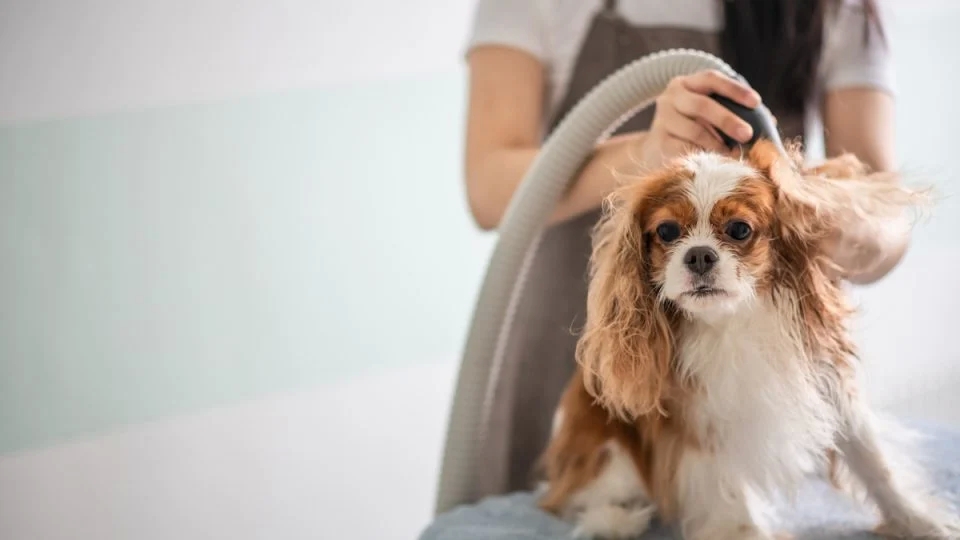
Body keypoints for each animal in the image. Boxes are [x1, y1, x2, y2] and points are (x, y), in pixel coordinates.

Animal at [536, 140, 956, 540]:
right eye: (667, 231)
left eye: (739, 229)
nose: (699, 255)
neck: (732, 320)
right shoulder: (699, 417)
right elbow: (726, 486)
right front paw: (746, 532)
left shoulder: (830, 387)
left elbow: (875, 463)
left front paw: (918, 521)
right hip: (611, 457)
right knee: (566, 501)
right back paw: (614, 520)